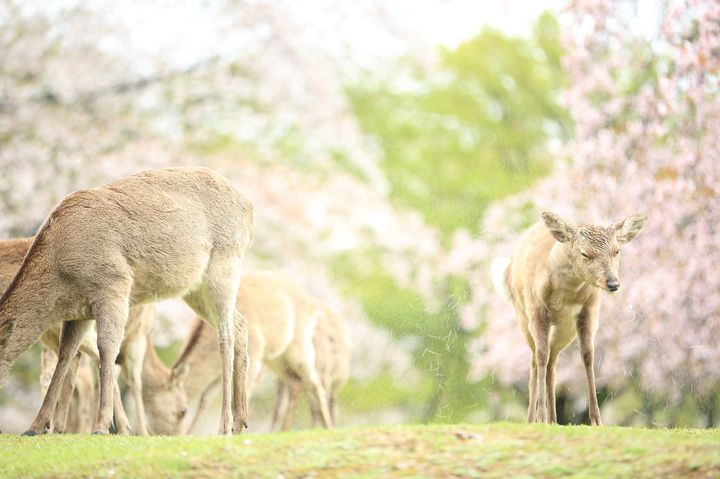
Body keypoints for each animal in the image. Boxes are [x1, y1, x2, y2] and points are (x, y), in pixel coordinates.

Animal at [0, 166, 254, 435]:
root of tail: (249, 210)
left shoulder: (113, 285)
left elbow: (107, 348)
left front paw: (103, 426)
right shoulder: (78, 312)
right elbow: (66, 354)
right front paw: (35, 426)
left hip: (224, 267)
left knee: (225, 335)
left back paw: (225, 425)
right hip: (194, 290)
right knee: (240, 324)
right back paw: (241, 421)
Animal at [152, 271, 334, 435]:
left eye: (183, 411)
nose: (167, 434)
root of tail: (312, 305)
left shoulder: (253, 355)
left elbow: (246, 389)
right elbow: (206, 398)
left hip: (299, 346)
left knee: (315, 383)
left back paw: (328, 427)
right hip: (277, 360)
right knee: (295, 382)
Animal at [492, 211, 646, 426]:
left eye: (617, 251)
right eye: (585, 254)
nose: (613, 283)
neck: (566, 292)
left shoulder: (589, 309)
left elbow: (588, 355)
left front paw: (596, 420)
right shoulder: (536, 309)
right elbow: (541, 355)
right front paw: (539, 417)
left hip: (566, 326)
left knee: (553, 359)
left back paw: (553, 419)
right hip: (523, 315)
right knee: (536, 359)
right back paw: (533, 418)